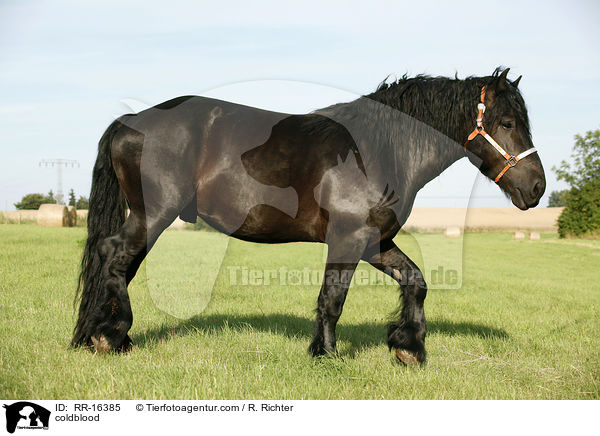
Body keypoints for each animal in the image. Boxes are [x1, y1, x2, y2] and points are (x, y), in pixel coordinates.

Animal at [71, 68, 544, 364]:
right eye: (506, 121)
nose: (537, 187)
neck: (377, 150)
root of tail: (130, 119)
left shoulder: (375, 242)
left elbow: (416, 282)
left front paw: (407, 347)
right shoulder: (348, 240)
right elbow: (332, 300)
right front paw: (328, 355)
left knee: (119, 265)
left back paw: (105, 334)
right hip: (153, 215)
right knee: (114, 256)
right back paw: (109, 335)